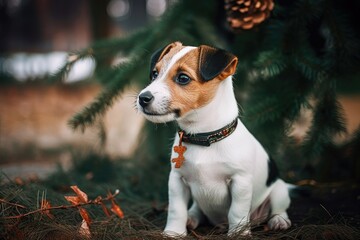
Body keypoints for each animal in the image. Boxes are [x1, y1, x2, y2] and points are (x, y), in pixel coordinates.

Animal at [136, 41, 292, 236]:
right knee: (196, 209)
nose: (142, 98)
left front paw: (238, 233)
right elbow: (176, 210)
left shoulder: (240, 182)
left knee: (279, 208)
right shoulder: (177, 180)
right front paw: (174, 232)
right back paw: (191, 219)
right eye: (155, 74)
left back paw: (279, 221)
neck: (203, 136)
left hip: (279, 189)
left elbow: (237, 212)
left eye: (183, 78)